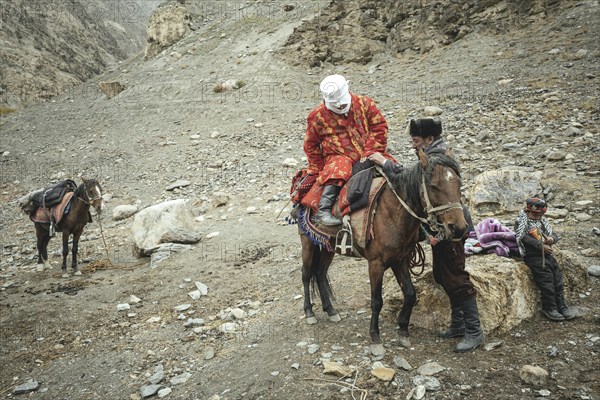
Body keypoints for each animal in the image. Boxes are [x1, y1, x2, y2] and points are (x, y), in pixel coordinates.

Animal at [302, 150, 466, 354]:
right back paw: (309, 312)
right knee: (306, 275)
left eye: (458, 183)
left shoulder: (400, 260)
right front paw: (375, 338)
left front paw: (403, 330)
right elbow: (376, 301)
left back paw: (331, 311)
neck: (392, 213)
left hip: (327, 246)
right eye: (434, 186)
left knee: (320, 273)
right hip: (307, 243)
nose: (458, 228)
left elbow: (410, 294)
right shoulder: (376, 264)